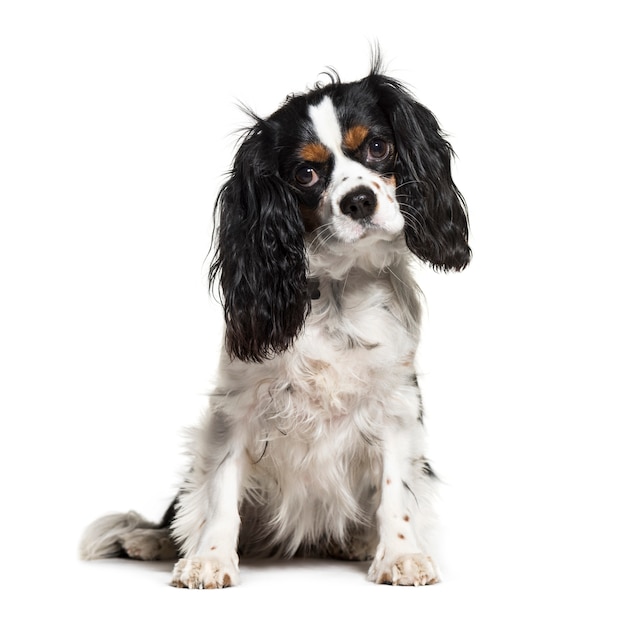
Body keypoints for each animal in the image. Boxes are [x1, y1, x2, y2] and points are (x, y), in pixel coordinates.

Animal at [79, 52, 470, 584]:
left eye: (378, 146)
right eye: (305, 174)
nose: (359, 200)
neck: (337, 289)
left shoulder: (395, 405)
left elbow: (396, 491)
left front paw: (400, 555)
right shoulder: (236, 408)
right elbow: (220, 489)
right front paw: (209, 558)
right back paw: (150, 540)